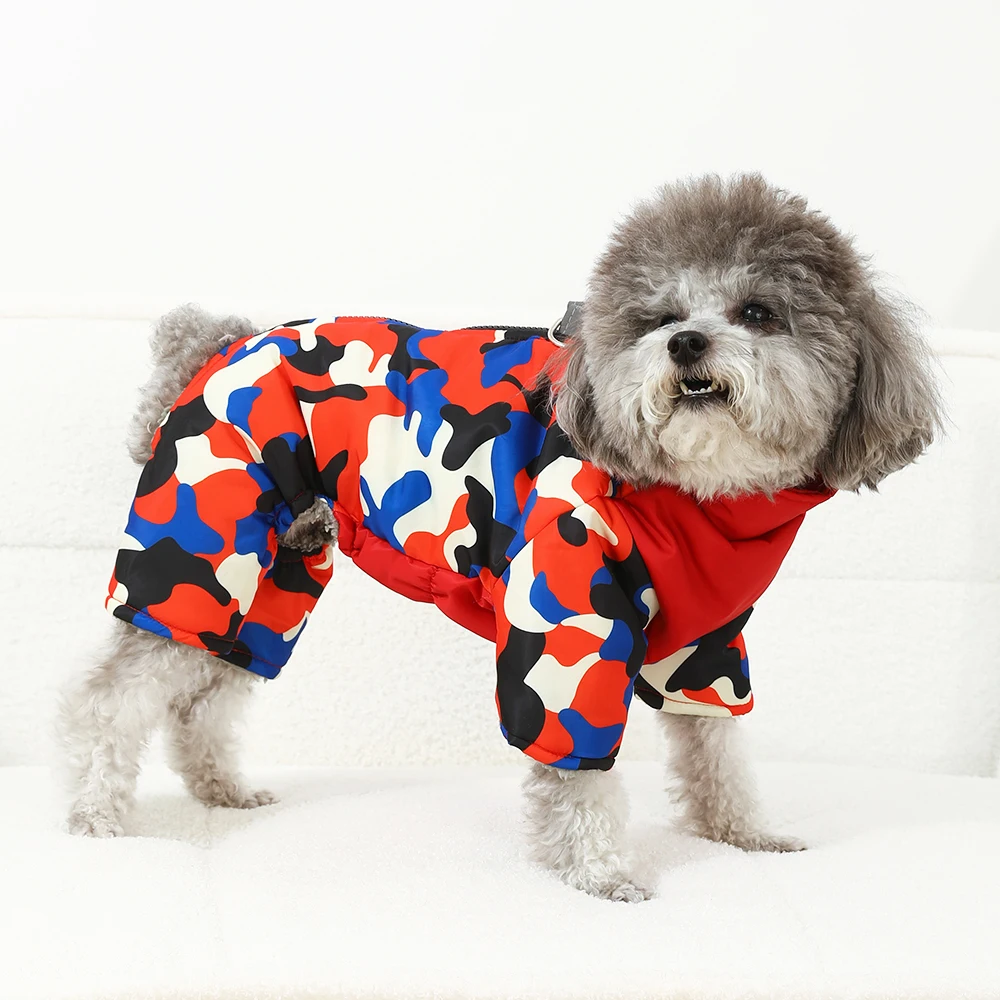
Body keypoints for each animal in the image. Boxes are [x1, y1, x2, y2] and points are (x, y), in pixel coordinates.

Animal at [58, 174, 942, 902]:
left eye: (757, 312)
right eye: (658, 318)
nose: (686, 343)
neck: (694, 496)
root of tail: (218, 345)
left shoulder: (709, 641)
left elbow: (715, 746)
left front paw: (742, 833)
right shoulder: (568, 623)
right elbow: (577, 767)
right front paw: (598, 871)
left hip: (276, 576)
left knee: (205, 696)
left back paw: (221, 791)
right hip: (199, 545)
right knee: (109, 699)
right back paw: (94, 815)